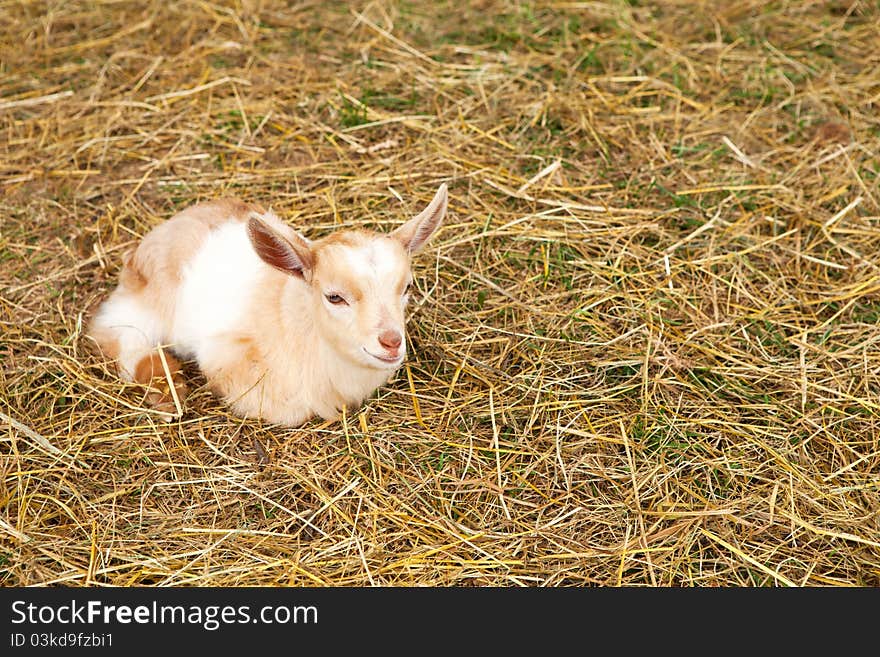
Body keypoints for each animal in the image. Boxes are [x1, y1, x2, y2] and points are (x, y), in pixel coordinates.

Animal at [88, 184, 446, 428]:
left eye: (407, 287)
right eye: (334, 297)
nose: (391, 342)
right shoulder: (228, 359)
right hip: (145, 302)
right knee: (113, 333)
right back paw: (167, 390)